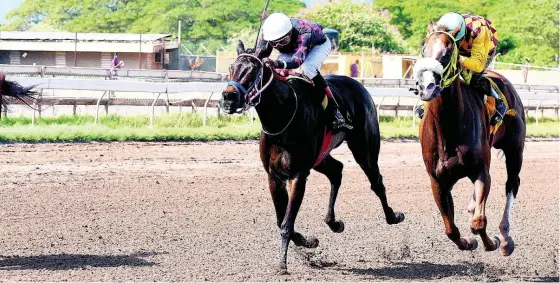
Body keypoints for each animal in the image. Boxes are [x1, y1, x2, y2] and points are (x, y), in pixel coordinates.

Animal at [219, 41, 402, 274]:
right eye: (232, 67)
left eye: (253, 70)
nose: (229, 97)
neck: (282, 116)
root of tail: (357, 84)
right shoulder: (274, 176)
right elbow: (282, 220)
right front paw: (308, 241)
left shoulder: (298, 174)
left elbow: (286, 222)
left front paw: (282, 264)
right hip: (320, 158)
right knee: (337, 170)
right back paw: (334, 222)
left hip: (365, 148)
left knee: (376, 182)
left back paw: (393, 216)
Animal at [414, 23, 528, 256]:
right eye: (423, 49)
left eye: (447, 52)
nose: (426, 86)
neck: (448, 127)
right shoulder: (438, 181)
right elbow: (451, 230)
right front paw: (468, 242)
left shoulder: (481, 171)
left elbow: (479, 223)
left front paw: (491, 242)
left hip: (515, 149)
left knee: (512, 184)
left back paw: (505, 237)